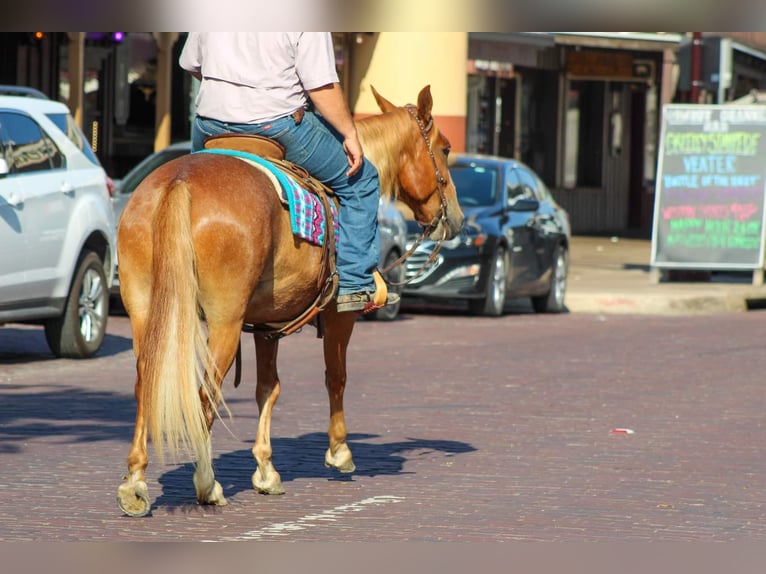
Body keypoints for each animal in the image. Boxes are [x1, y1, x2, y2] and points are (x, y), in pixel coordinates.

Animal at [117, 84, 464, 516]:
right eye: (445, 148)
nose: (456, 217)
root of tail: (179, 182)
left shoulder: (267, 325)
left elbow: (268, 388)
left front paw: (266, 470)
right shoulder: (339, 317)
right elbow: (336, 376)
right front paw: (339, 450)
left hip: (145, 311)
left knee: (146, 383)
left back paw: (135, 482)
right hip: (224, 322)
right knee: (205, 393)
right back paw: (207, 483)